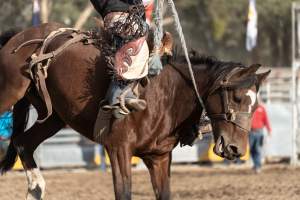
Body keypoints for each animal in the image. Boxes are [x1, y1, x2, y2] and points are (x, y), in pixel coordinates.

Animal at [0, 22, 270, 199]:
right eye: (236, 97)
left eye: (255, 105)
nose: (236, 149)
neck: (165, 92)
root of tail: (20, 36)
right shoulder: (119, 149)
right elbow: (124, 193)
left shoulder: (159, 157)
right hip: (9, 92)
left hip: (54, 116)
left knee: (23, 143)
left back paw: (36, 188)